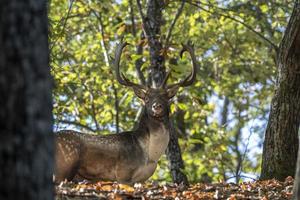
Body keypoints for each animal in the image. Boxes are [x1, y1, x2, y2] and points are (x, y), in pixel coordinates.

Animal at [54, 41, 198, 184]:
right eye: (146, 98)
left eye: (166, 97)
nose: (156, 106)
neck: (150, 156)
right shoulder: (123, 173)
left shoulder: (142, 179)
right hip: (67, 162)